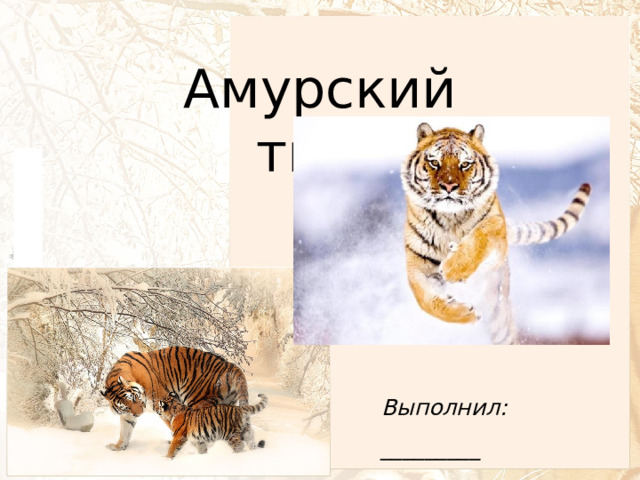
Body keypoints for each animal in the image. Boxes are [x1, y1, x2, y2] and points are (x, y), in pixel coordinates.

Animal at [101, 346, 250, 451]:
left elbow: (174, 424)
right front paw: (118, 447)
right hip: (227, 403)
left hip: (198, 401)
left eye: (134, 398)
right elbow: (125, 431)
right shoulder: (128, 415)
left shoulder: (161, 402)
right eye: (125, 406)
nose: (140, 413)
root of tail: (231, 366)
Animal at [401, 122, 591, 344]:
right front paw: (465, 313)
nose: (448, 186)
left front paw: (453, 267)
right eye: (434, 162)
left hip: (499, 319)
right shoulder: (418, 264)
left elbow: (481, 233)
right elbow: (425, 300)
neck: (450, 218)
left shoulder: (497, 230)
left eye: (465, 164)